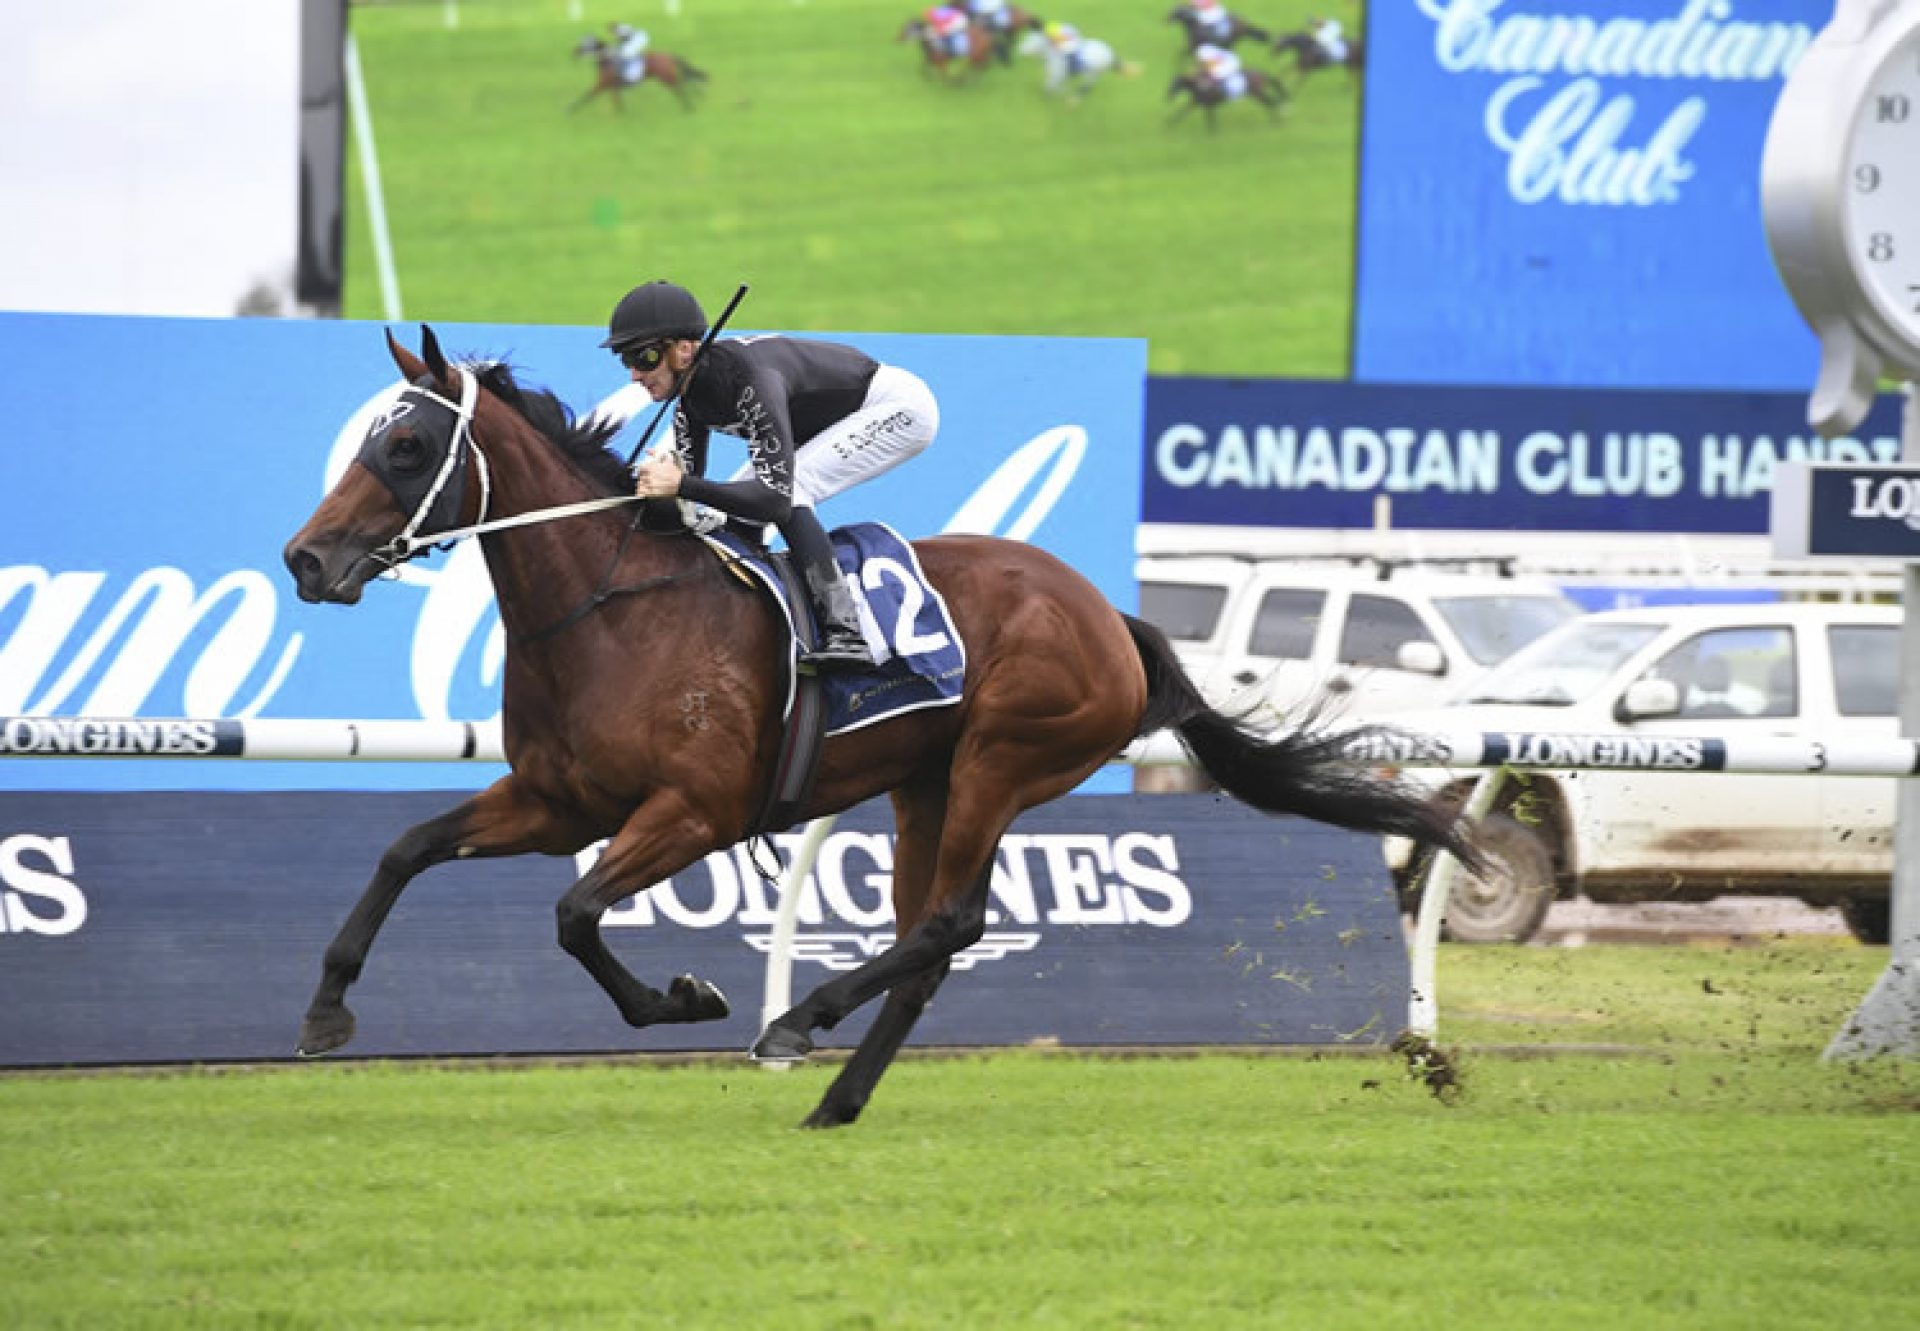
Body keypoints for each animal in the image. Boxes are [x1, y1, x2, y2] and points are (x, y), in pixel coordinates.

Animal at [280, 326, 1482, 1129]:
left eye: (406, 446)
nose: (304, 557)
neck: (611, 607)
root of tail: (1110, 613)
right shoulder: (554, 799)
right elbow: (406, 850)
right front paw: (326, 1010)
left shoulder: (694, 810)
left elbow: (576, 913)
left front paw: (684, 996)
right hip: (925, 783)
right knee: (927, 943)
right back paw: (838, 1096)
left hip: (1004, 758)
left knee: (948, 920)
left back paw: (799, 1021)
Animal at [564, 36, 710, 112]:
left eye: (586, 43)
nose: (574, 51)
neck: (606, 61)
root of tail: (668, 55)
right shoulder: (612, 88)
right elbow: (617, 103)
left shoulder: (602, 86)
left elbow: (585, 97)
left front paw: (569, 110)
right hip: (667, 77)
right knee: (683, 85)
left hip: (666, 78)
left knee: (681, 88)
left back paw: (689, 107)